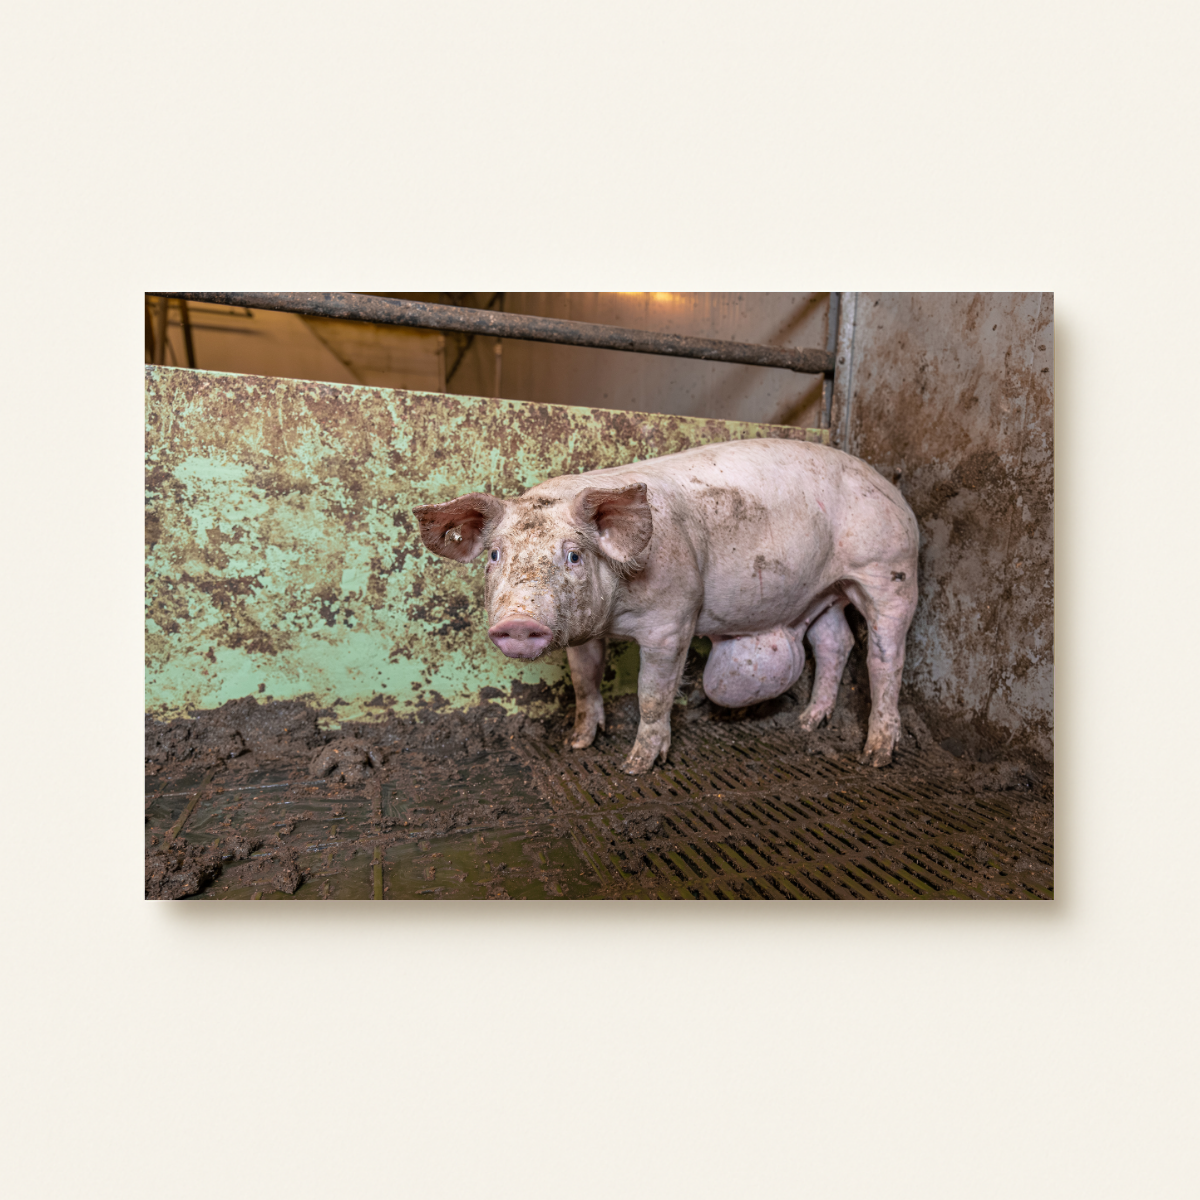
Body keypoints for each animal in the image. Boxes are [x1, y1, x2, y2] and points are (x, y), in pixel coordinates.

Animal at [413, 437, 919, 775]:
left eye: (573, 556)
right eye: (495, 555)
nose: (519, 621)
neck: (617, 616)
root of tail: (893, 490)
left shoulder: (672, 621)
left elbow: (652, 694)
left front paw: (636, 766)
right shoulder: (583, 631)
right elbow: (584, 681)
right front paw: (578, 743)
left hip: (889, 570)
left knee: (884, 658)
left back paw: (876, 755)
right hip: (824, 591)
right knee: (835, 642)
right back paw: (809, 723)